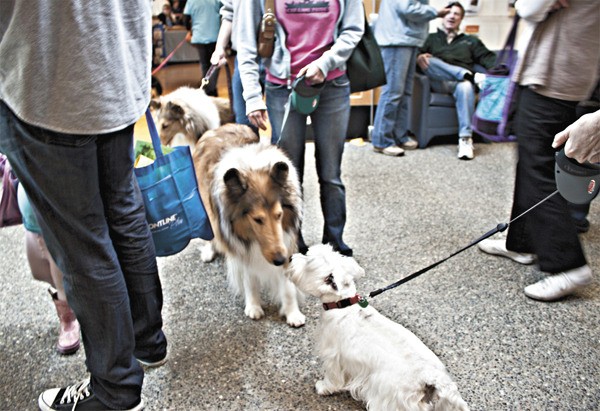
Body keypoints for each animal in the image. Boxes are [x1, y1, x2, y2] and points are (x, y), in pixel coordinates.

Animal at [193, 124, 304, 326]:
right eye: (257, 219)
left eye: (279, 215)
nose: (279, 259)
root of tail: (220, 127)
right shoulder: (240, 245)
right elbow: (249, 278)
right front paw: (253, 306)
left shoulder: (286, 241)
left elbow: (287, 286)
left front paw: (293, 313)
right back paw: (209, 251)